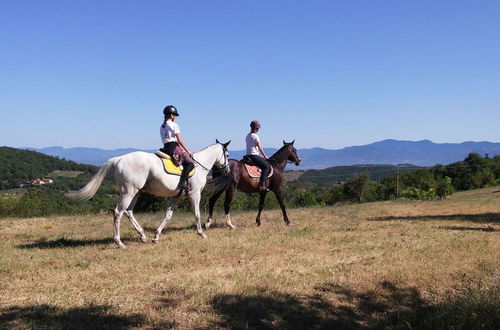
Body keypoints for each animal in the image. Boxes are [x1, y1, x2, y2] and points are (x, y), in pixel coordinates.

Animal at [65, 140, 231, 248]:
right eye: (228, 155)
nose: (227, 170)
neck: (199, 166)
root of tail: (118, 159)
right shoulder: (195, 194)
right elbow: (196, 214)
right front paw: (202, 234)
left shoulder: (174, 197)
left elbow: (168, 216)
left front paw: (156, 237)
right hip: (129, 192)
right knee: (118, 212)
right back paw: (119, 242)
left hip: (136, 193)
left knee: (128, 212)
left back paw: (142, 235)